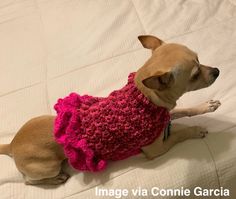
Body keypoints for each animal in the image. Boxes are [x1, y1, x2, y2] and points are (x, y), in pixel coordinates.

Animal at [0, 35, 221, 185]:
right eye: (194, 75)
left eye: (199, 59)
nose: (217, 71)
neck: (145, 98)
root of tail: (11, 145)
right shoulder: (156, 148)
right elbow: (179, 134)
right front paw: (196, 130)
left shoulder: (166, 115)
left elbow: (185, 110)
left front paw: (205, 106)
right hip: (48, 166)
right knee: (29, 181)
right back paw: (57, 179)